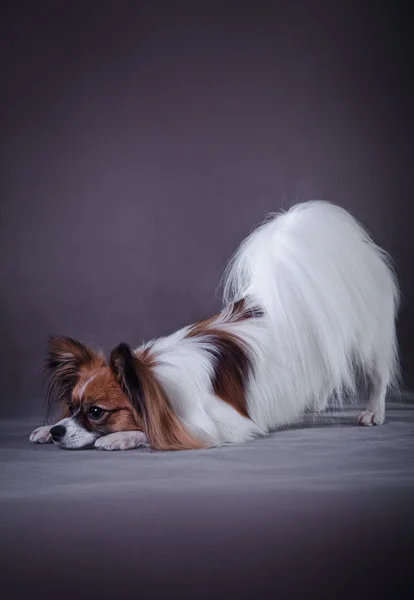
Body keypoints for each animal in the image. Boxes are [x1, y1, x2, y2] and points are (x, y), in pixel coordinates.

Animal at [29, 202, 398, 450]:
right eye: (71, 407)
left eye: (96, 412)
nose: (59, 431)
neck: (158, 382)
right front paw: (47, 429)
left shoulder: (223, 426)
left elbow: (157, 429)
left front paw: (121, 437)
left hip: (366, 340)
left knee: (378, 375)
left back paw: (373, 412)